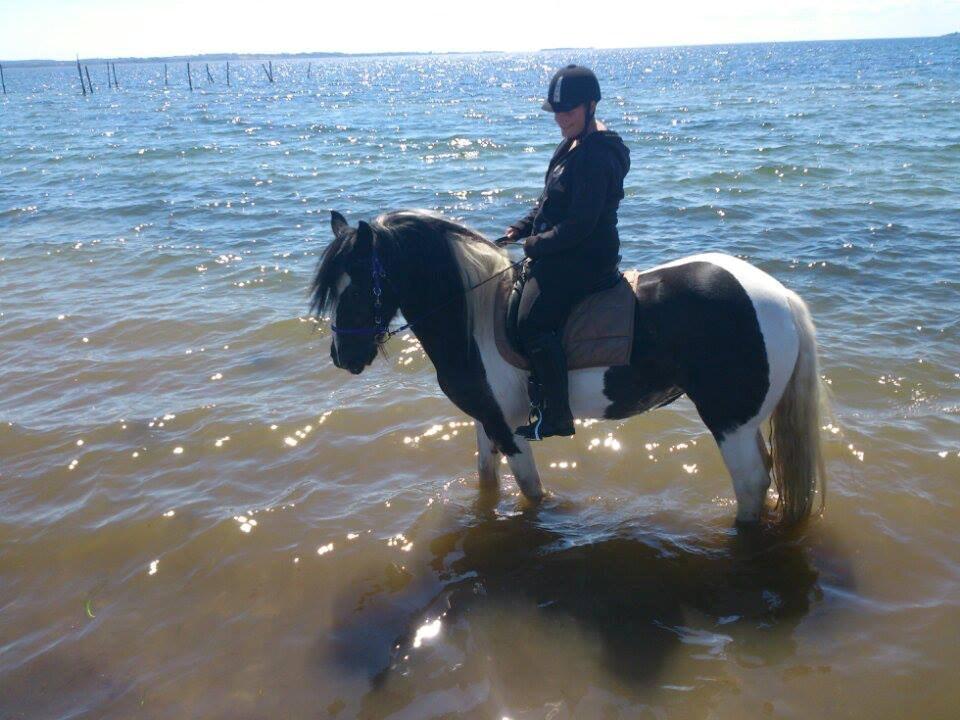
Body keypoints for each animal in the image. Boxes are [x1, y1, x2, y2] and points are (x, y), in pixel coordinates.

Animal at [310, 208, 824, 528]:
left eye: (360, 286)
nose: (343, 356)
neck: (472, 316)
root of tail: (779, 295)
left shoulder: (509, 426)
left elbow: (530, 489)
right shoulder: (486, 418)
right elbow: (486, 477)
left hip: (729, 421)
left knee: (751, 483)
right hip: (746, 421)